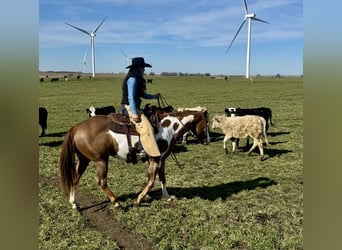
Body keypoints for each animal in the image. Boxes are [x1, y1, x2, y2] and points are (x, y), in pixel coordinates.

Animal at [59, 108, 208, 208]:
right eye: (206, 125)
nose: (207, 140)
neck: (168, 127)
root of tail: (76, 128)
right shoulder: (154, 160)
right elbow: (151, 182)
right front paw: (138, 200)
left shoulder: (162, 159)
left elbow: (163, 178)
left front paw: (167, 196)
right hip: (101, 160)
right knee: (101, 181)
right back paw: (116, 202)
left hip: (84, 160)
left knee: (74, 178)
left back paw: (73, 203)